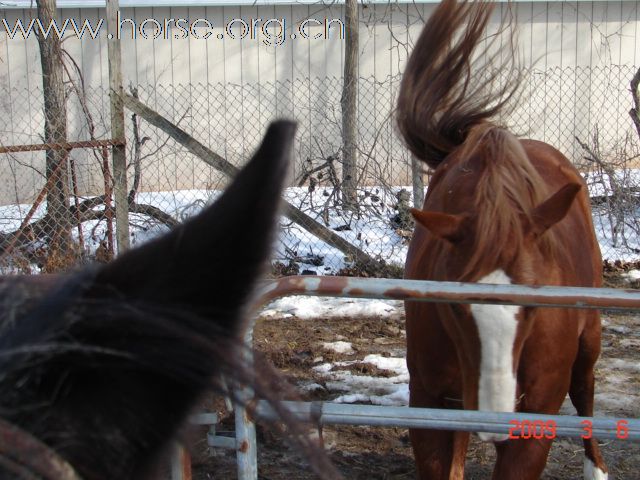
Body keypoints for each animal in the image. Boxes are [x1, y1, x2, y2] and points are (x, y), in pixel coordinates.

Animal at [398, 1, 608, 478]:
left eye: (534, 304)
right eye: (454, 306)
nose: (494, 415)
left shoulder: (535, 424)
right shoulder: (429, 406)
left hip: (590, 339)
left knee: (585, 390)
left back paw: (597, 466)